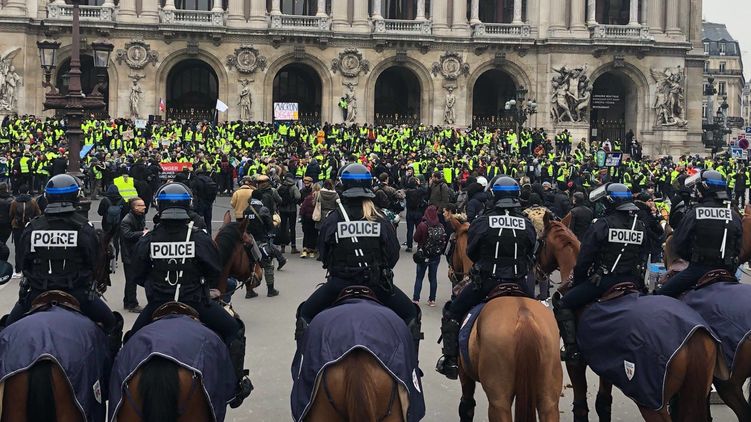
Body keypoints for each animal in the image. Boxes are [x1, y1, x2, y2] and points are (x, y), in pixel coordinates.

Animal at [540, 216, 724, 420]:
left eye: (541, 241)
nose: (537, 269)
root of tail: (694, 336)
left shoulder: (576, 365)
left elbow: (581, 407)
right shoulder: (606, 365)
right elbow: (603, 403)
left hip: (652, 405)